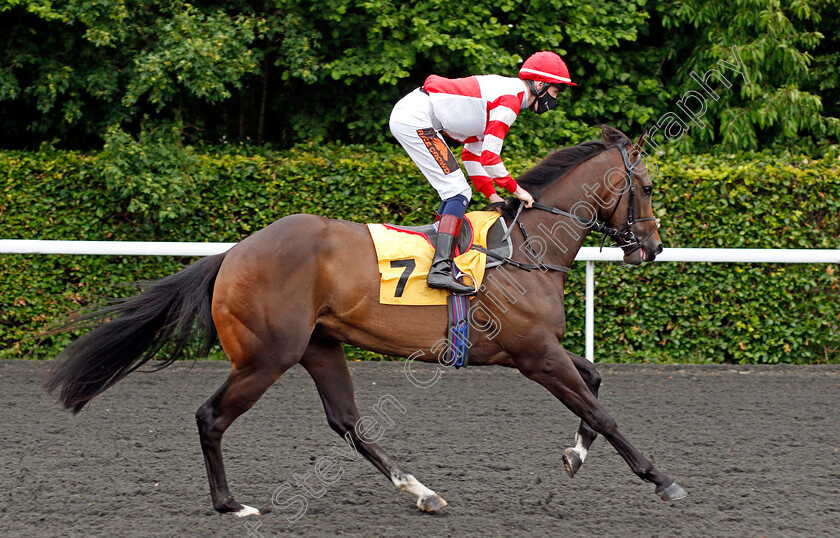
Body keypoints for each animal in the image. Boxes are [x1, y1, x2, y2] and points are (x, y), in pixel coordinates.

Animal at [46, 124, 684, 516]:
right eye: (649, 187)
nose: (652, 247)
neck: (526, 246)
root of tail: (234, 253)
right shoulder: (534, 355)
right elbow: (602, 410)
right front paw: (662, 479)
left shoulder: (536, 348)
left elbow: (594, 382)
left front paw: (575, 456)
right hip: (267, 356)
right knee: (211, 416)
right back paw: (231, 503)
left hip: (319, 346)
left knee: (347, 422)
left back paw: (421, 491)